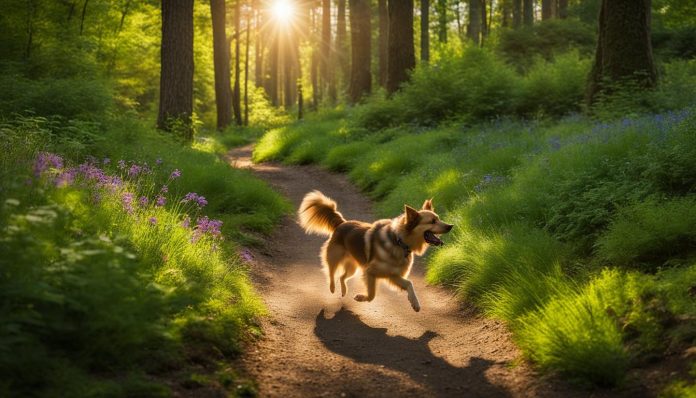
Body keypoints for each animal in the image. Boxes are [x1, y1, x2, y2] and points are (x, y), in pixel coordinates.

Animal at [298, 191, 452, 312]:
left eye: (438, 218)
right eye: (432, 221)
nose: (450, 226)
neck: (399, 241)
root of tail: (341, 223)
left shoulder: (393, 275)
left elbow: (409, 284)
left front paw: (415, 303)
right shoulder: (371, 272)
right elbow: (372, 296)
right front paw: (361, 297)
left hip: (353, 268)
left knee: (342, 277)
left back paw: (344, 291)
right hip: (334, 257)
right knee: (330, 273)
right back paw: (332, 288)